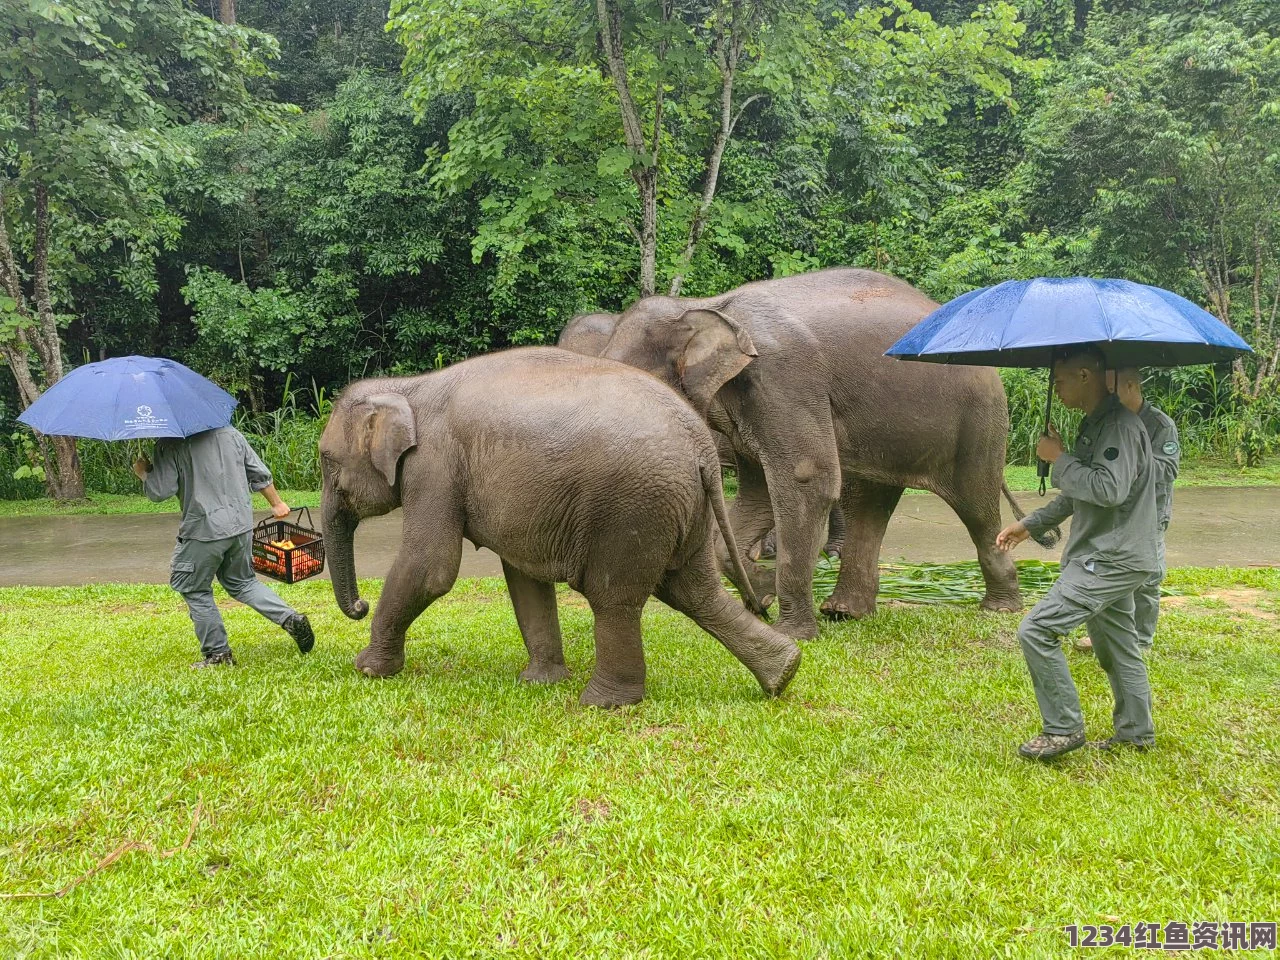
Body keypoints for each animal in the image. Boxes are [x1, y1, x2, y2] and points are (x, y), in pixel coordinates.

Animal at [320, 345, 798, 706]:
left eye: (326, 461)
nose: (359, 606)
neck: (406, 386)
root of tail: (703, 450)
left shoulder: (434, 465)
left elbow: (431, 566)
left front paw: (367, 669)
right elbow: (525, 578)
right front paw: (539, 683)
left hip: (632, 508)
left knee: (615, 599)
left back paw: (603, 704)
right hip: (681, 509)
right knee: (695, 593)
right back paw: (784, 673)